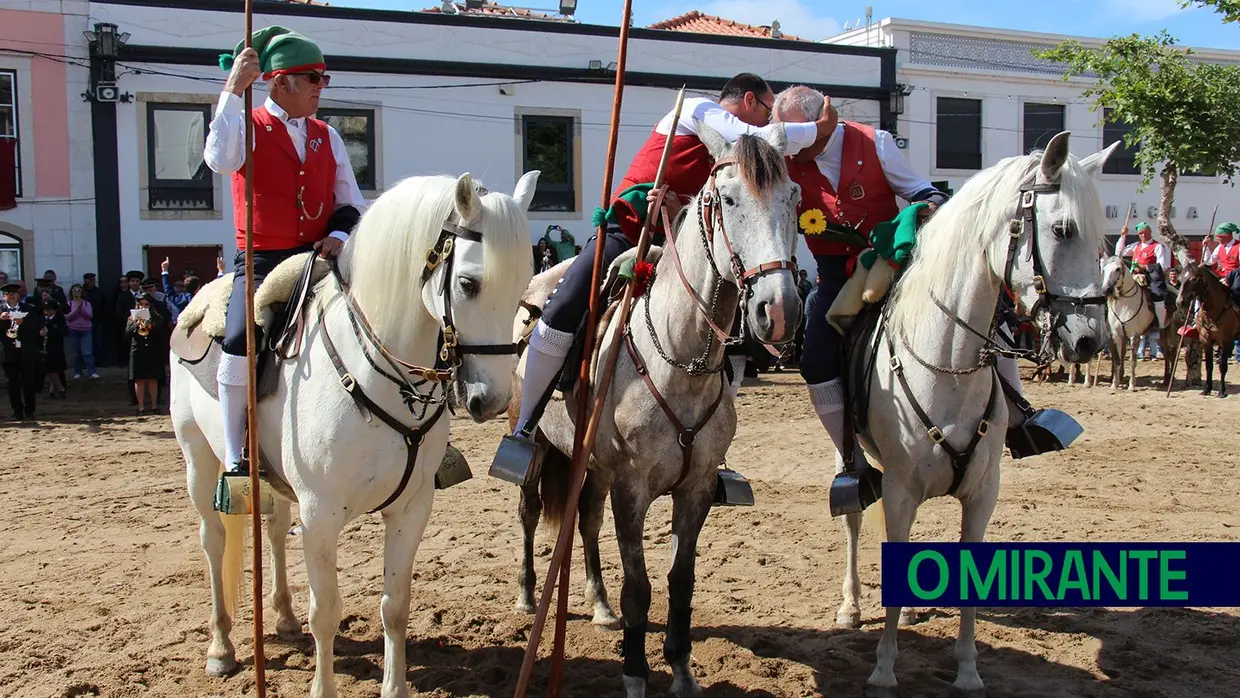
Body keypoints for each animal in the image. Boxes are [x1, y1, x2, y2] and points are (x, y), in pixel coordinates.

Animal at [173, 172, 538, 698]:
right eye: (468, 284)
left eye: (523, 285)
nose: (490, 400)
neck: (372, 376)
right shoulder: (321, 515)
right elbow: (326, 613)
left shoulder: (411, 509)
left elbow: (395, 606)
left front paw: (395, 687)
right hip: (199, 462)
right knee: (213, 540)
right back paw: (221, 647)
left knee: (276, 531)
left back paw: (283, 618)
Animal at [838, 132, 1120, 698]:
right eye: (1062, 229)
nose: (1089, 340)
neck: (947, 364)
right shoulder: (899, 491)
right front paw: (883, 669)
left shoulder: (983, 493)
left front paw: (968, 671)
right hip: (852, 458)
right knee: (855, 514)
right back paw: (852, 605)